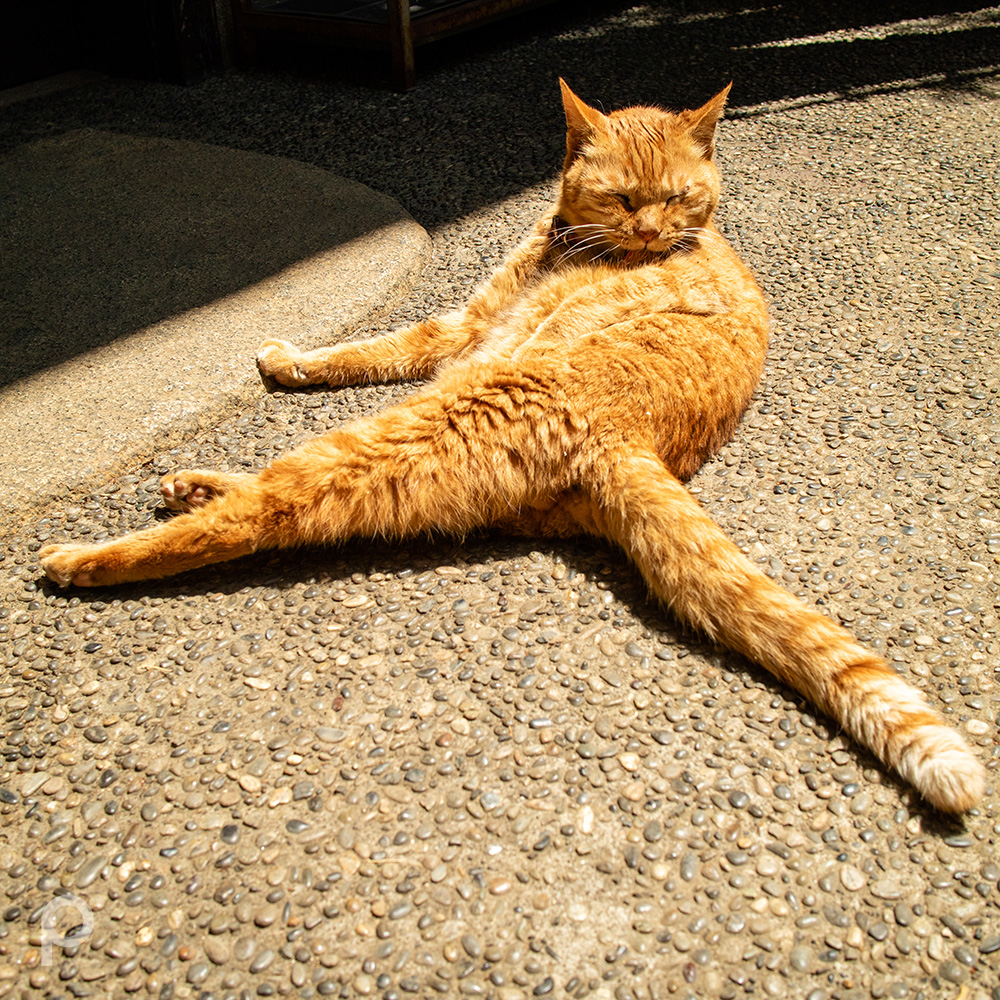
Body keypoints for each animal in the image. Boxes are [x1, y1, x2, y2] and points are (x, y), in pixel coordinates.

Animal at [39, 82, 984, 816]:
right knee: (284, 489)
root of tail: (635, 442)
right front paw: (297, 359)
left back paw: (88, 557)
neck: (570, 241)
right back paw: (193, 484)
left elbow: (386, 357)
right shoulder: (459, 329)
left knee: (266, 510)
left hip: (445, 409)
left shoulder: (484, 340)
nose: (653, 237)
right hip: (445, 422)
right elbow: (370, 348)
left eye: (680, 199)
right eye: (626, 198)